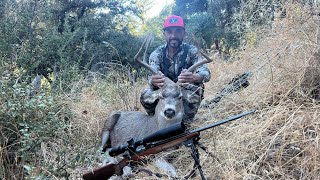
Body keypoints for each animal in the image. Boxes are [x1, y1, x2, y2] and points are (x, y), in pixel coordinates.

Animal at [99, 36, 211, 177]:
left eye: (180, 96)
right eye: (161, 96)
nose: (169, 111)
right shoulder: (157, 156)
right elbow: (172, 171)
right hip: (108, 123)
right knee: (103, 151)